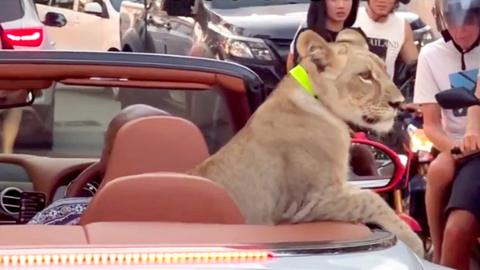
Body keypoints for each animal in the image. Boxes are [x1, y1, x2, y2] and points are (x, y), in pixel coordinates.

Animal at [188, 28, 424, 256]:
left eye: (385, 70)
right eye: (365, 76)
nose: (400, 103)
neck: (318, 101)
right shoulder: (307, 203)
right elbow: (370, 198)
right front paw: (414, 241)